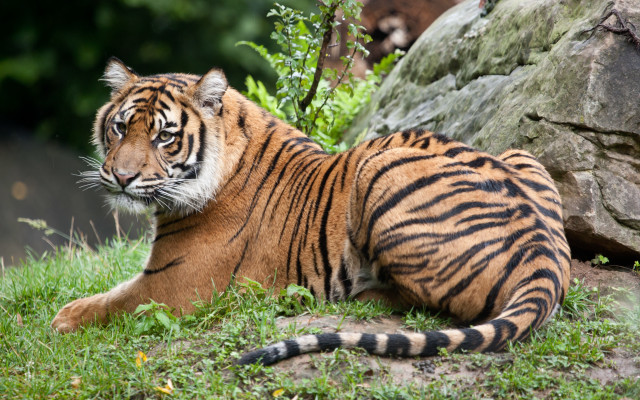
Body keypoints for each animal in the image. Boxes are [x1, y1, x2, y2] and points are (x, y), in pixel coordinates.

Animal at [51, 58, 571, 366]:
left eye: (164, 136)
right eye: (120, 128)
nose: (121, 177)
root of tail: (544, 254)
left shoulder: (174, 286)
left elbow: (107, 303)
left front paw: (61, 320)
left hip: (377, 168)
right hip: (520, 152)